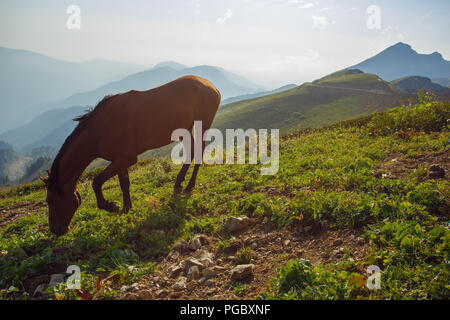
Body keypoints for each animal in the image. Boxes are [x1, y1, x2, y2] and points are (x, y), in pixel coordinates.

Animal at [41, 75, 221, 235]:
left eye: (51, 200)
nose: (55, 230)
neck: (99, 130)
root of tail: (212, 86)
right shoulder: (120, 160)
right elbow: (124, 183)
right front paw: (126, 208)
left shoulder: (126, 158)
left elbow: (96, 182)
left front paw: (110, 206)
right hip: (185, 130)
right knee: (192, 151)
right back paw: (178, 184)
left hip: (202, 125)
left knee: (198, 151)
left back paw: (189, 185)